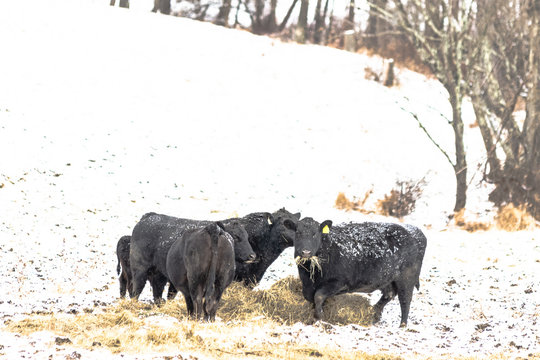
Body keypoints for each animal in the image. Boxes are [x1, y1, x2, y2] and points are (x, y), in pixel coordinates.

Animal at [294, 218, 428, 328]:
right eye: (298, 233)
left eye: (315, 234)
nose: (305, 252)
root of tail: (414, 230)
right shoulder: (308, 286)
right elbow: (311, 297)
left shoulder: (339, 282)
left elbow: (319, 296)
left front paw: (318, 317)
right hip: (387, 279)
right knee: (388, 295)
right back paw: (374, 315)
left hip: (406, 279)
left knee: (405, 300)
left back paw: (402, 325)